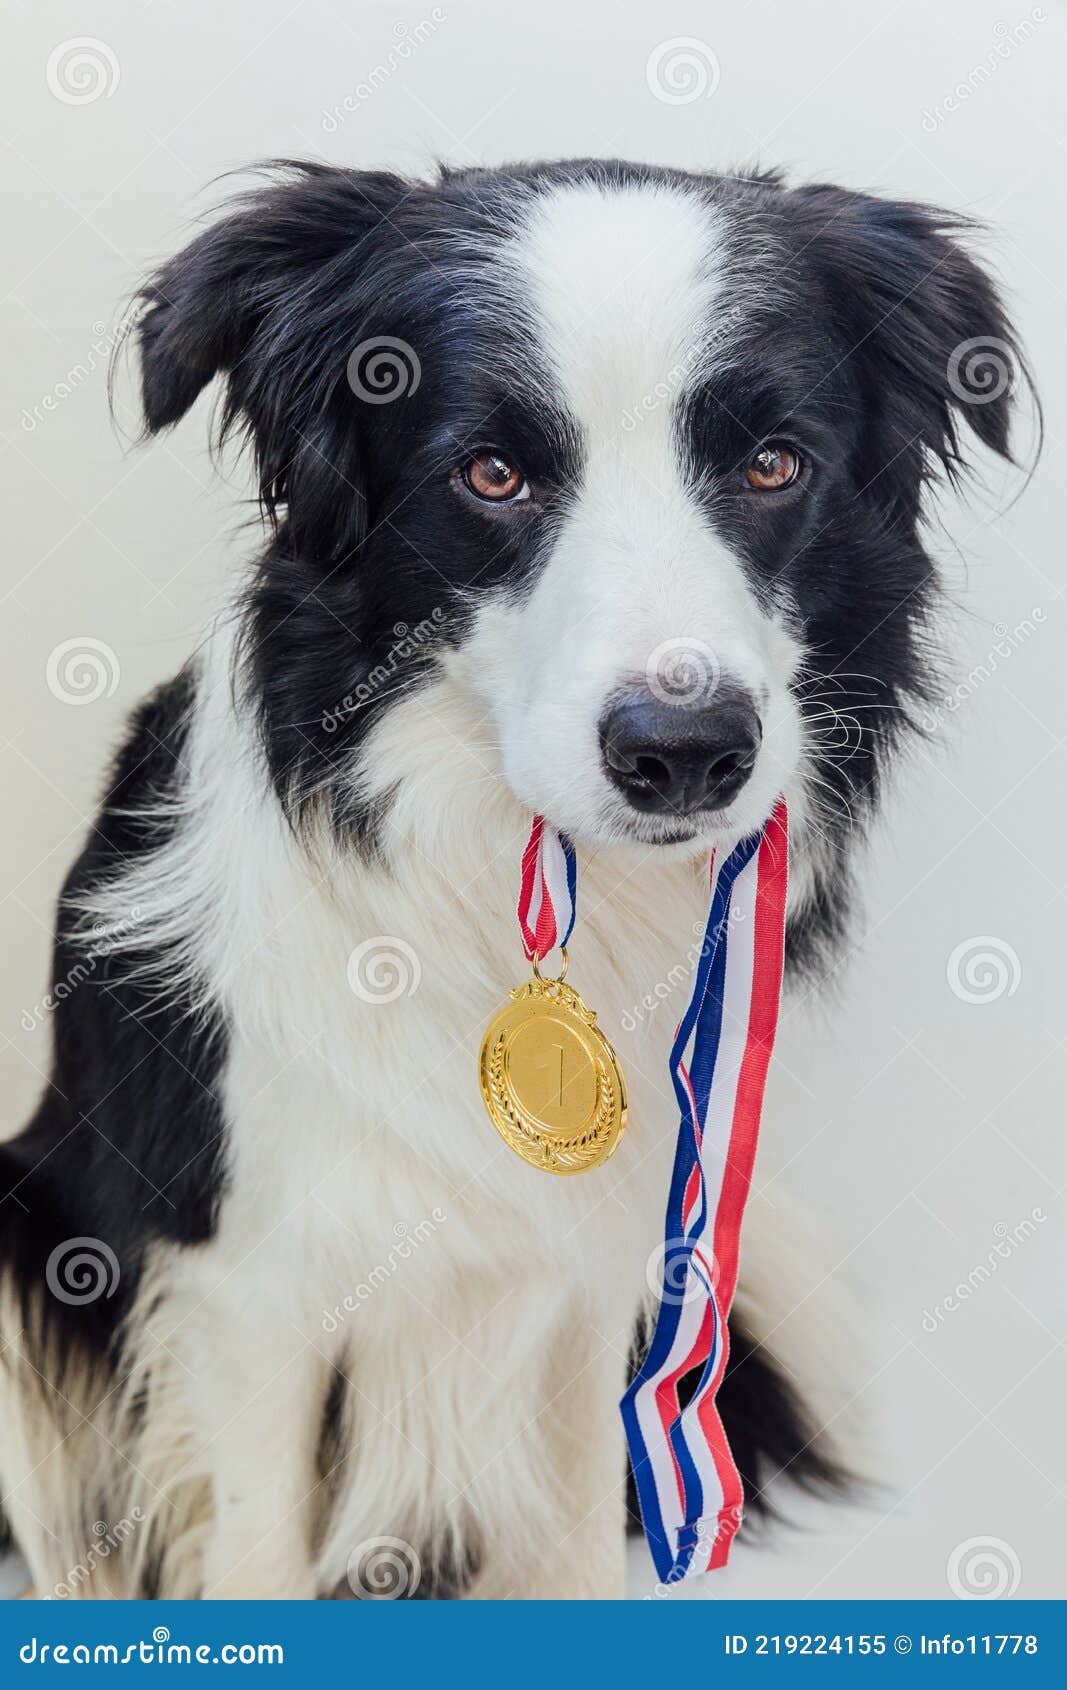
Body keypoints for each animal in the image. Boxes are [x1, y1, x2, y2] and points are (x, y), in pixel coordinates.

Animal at [0, 158, 1028, 1595]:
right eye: (489, 474)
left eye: (772, 464)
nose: (684, 752)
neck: (510, 880)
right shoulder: (248, 1282)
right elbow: (257, 1546)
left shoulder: (592, 1272)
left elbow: (578, 1532)